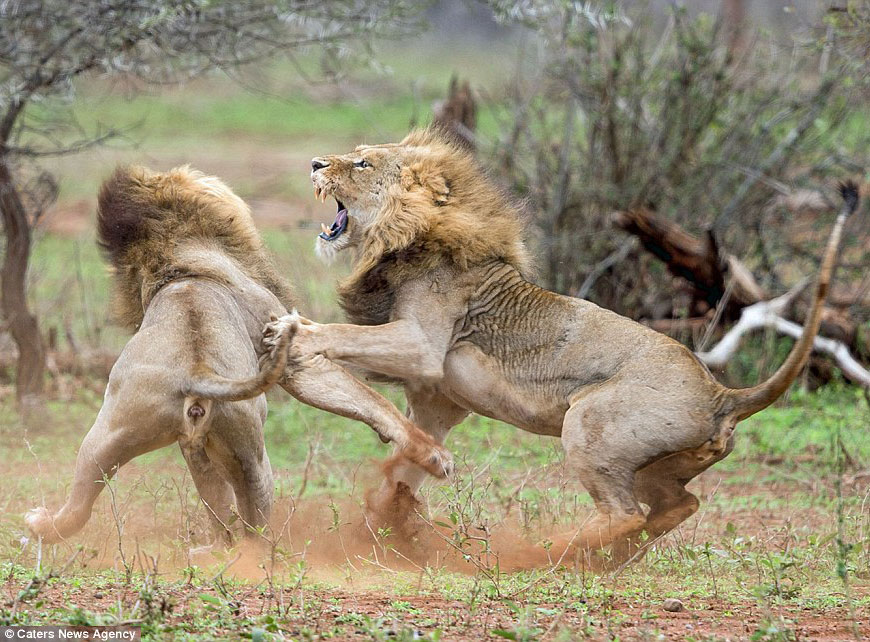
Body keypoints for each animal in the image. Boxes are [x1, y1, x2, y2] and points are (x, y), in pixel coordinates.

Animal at [23, 164, 454, 544]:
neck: (176, 264)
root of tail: (195, 373)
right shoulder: (288, 346)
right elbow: (370, 399)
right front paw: (434, 456)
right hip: (253, 455)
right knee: (252, 532)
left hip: (111, 433)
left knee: (85, 505)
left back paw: (40, 525)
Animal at [270, 126, 860, 564]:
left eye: (363, 164)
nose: (316, 163)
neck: (404, 239)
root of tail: (723, 395)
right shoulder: (439, 396)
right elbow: (410, 453)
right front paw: (390, 511)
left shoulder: (423, 346)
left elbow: (344, 333)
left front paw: (290, 330)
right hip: (657, 466)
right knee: (677, 505)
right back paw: (606, 561)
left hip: (589, 422)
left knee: (625, 511)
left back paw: (548, 552)